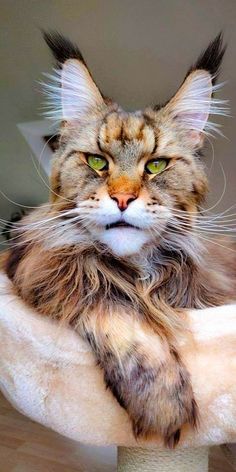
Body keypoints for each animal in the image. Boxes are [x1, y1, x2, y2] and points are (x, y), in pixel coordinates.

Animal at [4, 32, 236, 446]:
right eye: (98, 162)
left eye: (156, 165)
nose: (124, 198)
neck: (138, 272)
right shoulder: (41, 267)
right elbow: (117, 310)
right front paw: (164, 408)